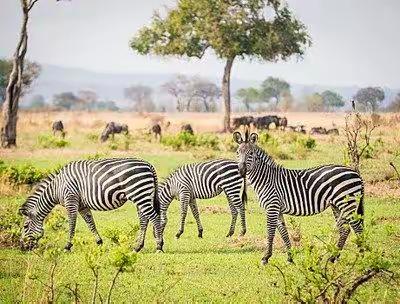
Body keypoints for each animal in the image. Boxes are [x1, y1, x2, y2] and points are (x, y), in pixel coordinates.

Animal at [19, 158, 163, 253]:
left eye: (25, 226)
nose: (21, 247)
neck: (57, 188)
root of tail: (149, 164)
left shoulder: (71, 200)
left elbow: (72, 224)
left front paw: (67, 247)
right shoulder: (82, 205)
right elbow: (90, 223)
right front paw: (99, 242)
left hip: (139, 193)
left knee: (154, 218)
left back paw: (159, 246)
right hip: (142, 196)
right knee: (144, 220)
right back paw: (138, 247)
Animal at [233, 130, 364, 264]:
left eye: (251, 153)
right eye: (237, 152)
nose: (241, 171)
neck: (266, 179)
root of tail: (355, 173)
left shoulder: (272, 207)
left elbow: (270, 232)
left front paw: (265, 257)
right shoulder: (277, 209)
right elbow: (283, 232)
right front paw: (290, 257)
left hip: (347, 203)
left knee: (357, 227)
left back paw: (361, 256)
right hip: (337, 205)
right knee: (345, 229)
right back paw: (333, 257)